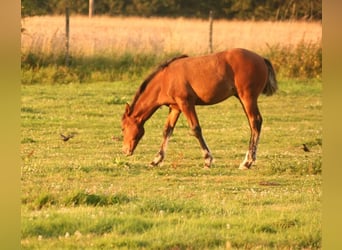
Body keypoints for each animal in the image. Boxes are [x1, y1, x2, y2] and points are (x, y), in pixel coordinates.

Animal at [121, 47, 276, 169]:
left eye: (122, 128)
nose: (125, 151)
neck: (165, 79)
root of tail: (261, 59)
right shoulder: (175, 107)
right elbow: (167, 131)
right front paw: (156, 160)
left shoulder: (186, 104)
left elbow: (195, 129)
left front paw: (208, 160)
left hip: (247, 98)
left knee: (255, 122)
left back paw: (247, 162)